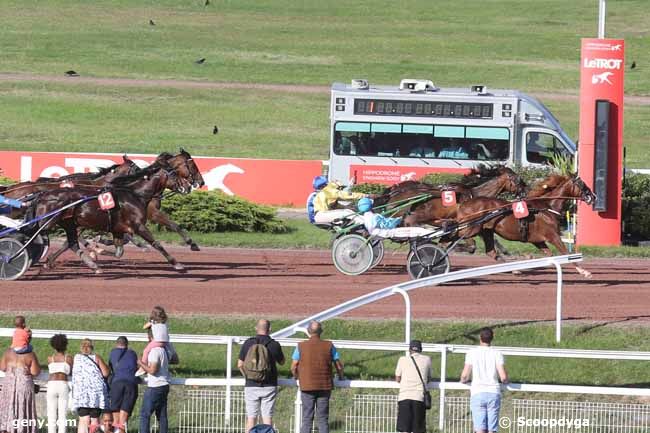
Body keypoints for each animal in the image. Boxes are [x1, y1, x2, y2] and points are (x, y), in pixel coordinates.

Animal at [454, 173, 596, 276]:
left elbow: (550, 255)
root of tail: (464, 203)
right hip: (471, 228)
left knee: (491, 252)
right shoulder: (553, 236)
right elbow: (566, 253)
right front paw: (584, 272)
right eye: (582, 184)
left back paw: (513, 269)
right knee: (455, 236)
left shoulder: (538, 241)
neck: (547, 207)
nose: (593, 196)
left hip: (486, 231)